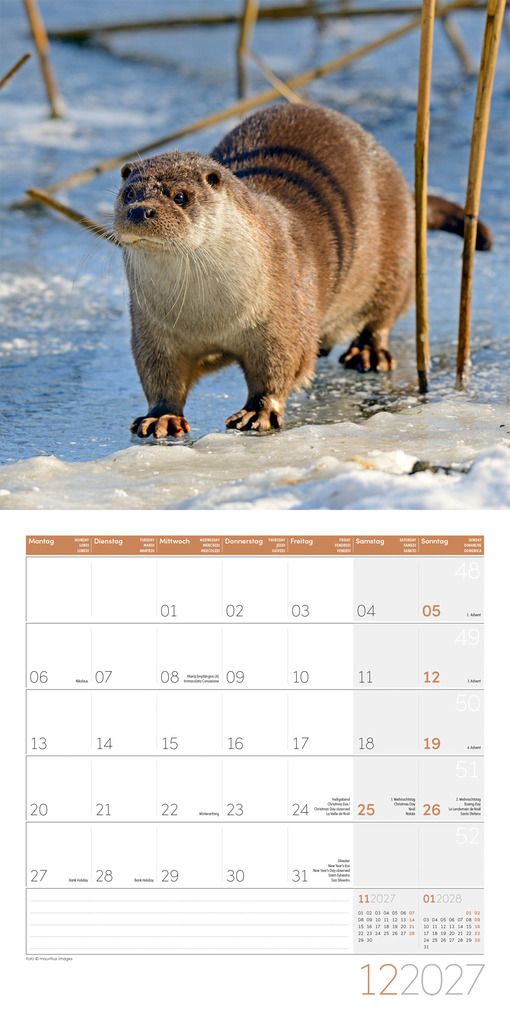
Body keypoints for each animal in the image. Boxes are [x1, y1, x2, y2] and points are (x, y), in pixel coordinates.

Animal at [113, 103, 491, 437]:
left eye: (180, 196)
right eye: (128, 193)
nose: (140, 211)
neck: (209, 317)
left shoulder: (283, 311)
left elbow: (281, 365)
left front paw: (258, 411)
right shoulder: (152, 330)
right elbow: (159, 375)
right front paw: (161, 417)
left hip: (395, 252)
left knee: (387, 310)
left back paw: (367, 352)